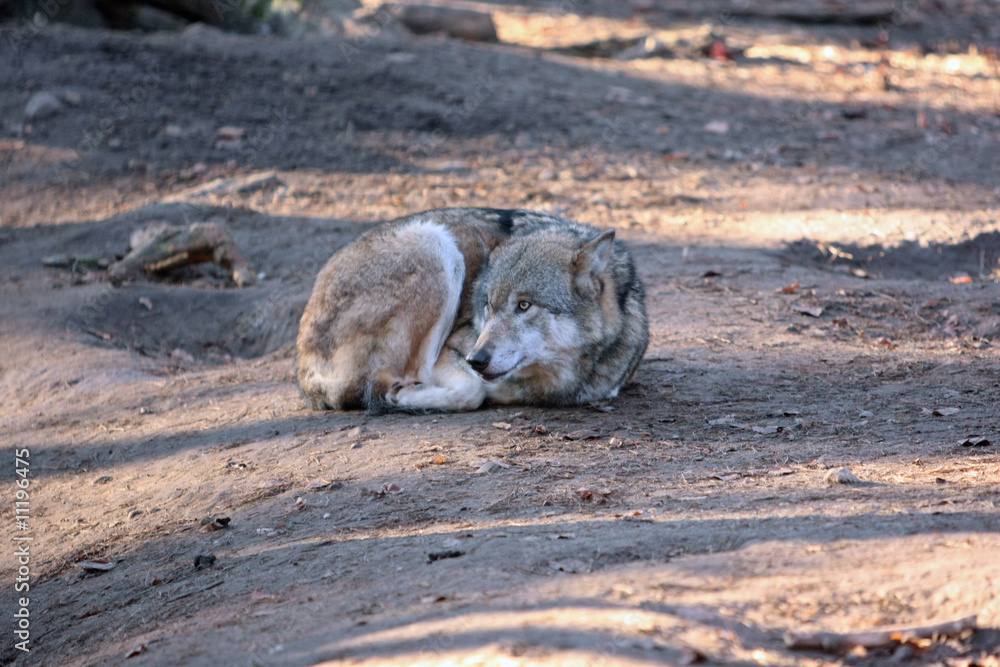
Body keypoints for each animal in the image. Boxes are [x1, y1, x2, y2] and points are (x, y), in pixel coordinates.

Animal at [296, 208, 647, 412]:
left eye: (524, 305)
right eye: (488, 305)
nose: (476, 359)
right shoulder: (455, 349)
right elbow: (472, 389)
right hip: (436, 244)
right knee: (395, 377)